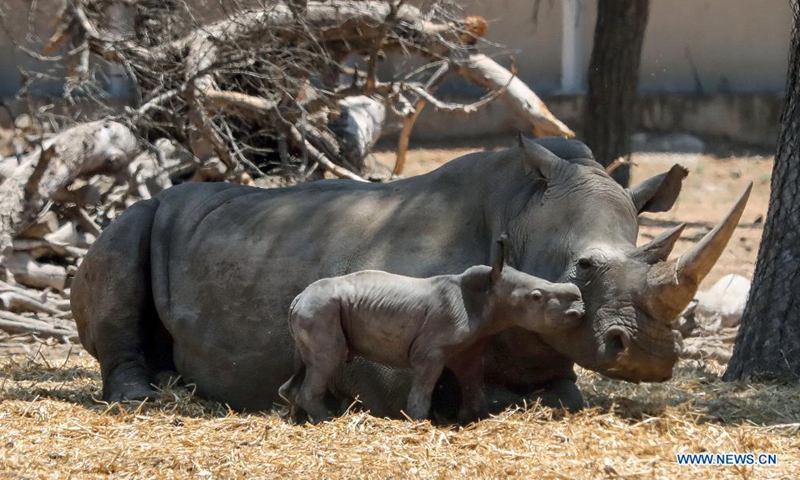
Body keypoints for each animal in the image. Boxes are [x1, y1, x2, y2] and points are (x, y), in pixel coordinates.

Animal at [281, 235, 584, 423]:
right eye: (536, 297)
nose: (579, 310)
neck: (487, 292)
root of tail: (298, 298)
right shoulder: (431, 350)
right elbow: (423, 389)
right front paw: (419, 423)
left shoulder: (470, 349)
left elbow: (472, 383)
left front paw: (473, 419)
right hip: (321, 308)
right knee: (328, 359)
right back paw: (327, 422)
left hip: (315, 309)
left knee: (308, 363)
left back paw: (300, 421)